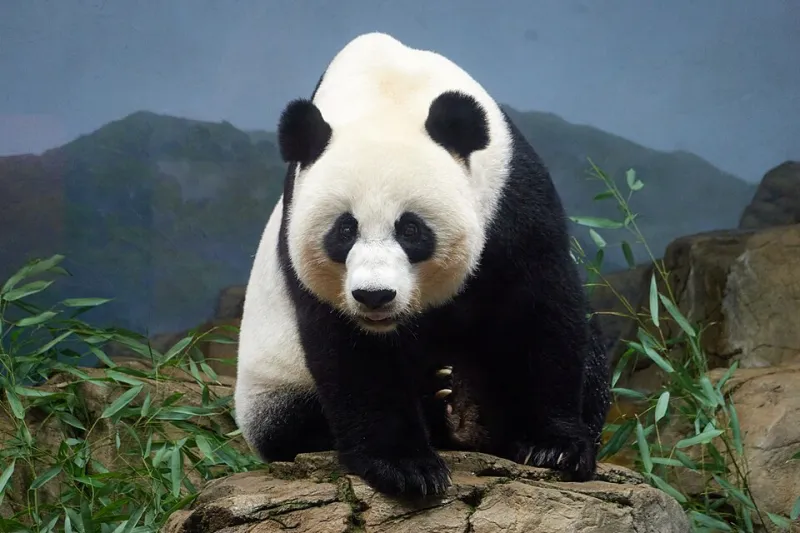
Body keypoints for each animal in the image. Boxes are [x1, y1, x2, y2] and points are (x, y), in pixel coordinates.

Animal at [234, 32, 611, 498]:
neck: (387, 89)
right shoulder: (300, 238)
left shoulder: (511, 196)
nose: (374, 296)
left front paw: (554, 447)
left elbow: (540, 308)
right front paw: (406, 467)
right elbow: (350, 350)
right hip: (270, 385)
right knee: (294, 423)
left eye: (411, 229)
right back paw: (447, 406)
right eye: (344, 230)